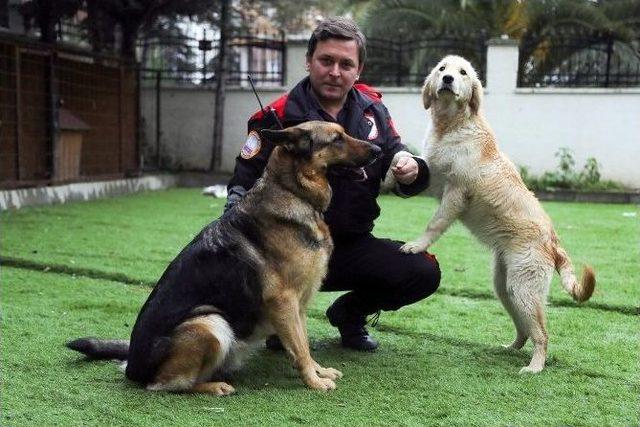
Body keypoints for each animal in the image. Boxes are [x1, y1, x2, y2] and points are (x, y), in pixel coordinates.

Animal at [67, 121, 380, 394]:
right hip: (210, 323)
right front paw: (314, 383)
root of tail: (132, 365)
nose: (379, 150)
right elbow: (300, 349)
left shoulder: (298, 306)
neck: (293, 192)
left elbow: (303, 343)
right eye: (337, 139)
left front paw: (319, 371)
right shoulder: (284, 302)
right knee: (165, 385)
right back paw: (214, 386)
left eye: (344, 133)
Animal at [402, 54, 596, 374]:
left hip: (523, 289)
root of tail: (554, 243)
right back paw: (510, 348)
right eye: (442, 69)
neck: (452, 125)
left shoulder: (454, 193)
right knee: (524, 329)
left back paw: (534, 367)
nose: (447, 80)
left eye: (463, 73)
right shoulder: (432, 178)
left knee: (542, 334)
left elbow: (434, 225)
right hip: (506, 288)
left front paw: (416, 246)